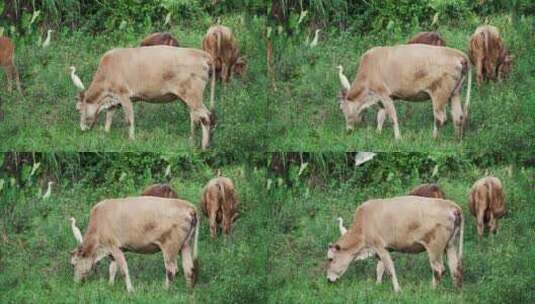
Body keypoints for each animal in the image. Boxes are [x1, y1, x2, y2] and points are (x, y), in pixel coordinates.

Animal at [69, 197, 199, 292]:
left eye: (73, 264)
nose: (75, 283)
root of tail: (189, 206)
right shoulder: (111, 251)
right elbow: (112, 269)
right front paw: (110, 285)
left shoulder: (115, 247)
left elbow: (123, 269)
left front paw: (130, 290)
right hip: (186, 245)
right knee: (188, 269)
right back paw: (189, 291)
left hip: (170, 248)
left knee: (171, 269)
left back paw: (165, 289)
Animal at [75, 45, 216, 149]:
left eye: (78, 109)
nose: (82, 129)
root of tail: (202, 54)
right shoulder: (114, 99)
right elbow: (109, 116)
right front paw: (106, 132)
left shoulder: (124, 94)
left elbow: (129, 119)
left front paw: (131, 139)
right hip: (188, 98)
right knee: (194, 118)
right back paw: (191, 141)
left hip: (193, 96)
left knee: (206, 116)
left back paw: (204, 146)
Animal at [326, 196, 464, 294]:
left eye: (330, 259)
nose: (328, 279)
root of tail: (451, 205)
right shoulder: (383, 249)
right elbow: (380, 268)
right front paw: (377, 285)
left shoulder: (380, 247)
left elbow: (390, 269)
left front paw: (397, 290)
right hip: (451, 244)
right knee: (454, 267)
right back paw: (456, 290)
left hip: (434, 248)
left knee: (439, 269)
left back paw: (432, 290)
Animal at [340, 44, 474, 140]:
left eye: (341, 108)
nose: (348, 130)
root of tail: (459, 54)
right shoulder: (381, 99)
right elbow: (380, 116)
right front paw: (378, 133)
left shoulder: (384, 94)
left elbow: (392, 117)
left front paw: (398, 138)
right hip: (455, 92)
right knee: (458, 116)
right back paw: (457, 139)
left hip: (439, 93)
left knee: (440, 118)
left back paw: (434, 139)